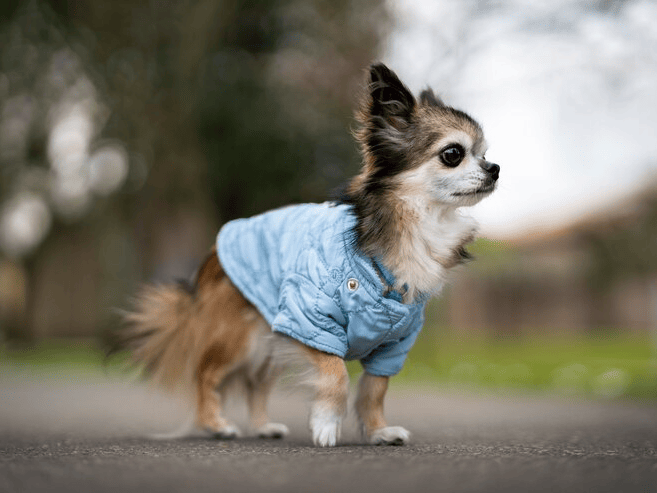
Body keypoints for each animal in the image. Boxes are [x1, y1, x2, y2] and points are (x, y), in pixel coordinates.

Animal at [115, 62, 500, 446]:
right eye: (453, 154)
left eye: (484, 154)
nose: (495, 168)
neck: (418, 226)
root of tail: (212, 256)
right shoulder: (311, 322)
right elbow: (336, 375)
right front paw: (327, 424)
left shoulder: (394, 343)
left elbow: (375, 390)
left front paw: (378, 430)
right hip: (240, 337)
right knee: (206, 375)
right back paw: (216, 424)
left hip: (270, 338)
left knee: (256, 384)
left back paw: (262, 426)